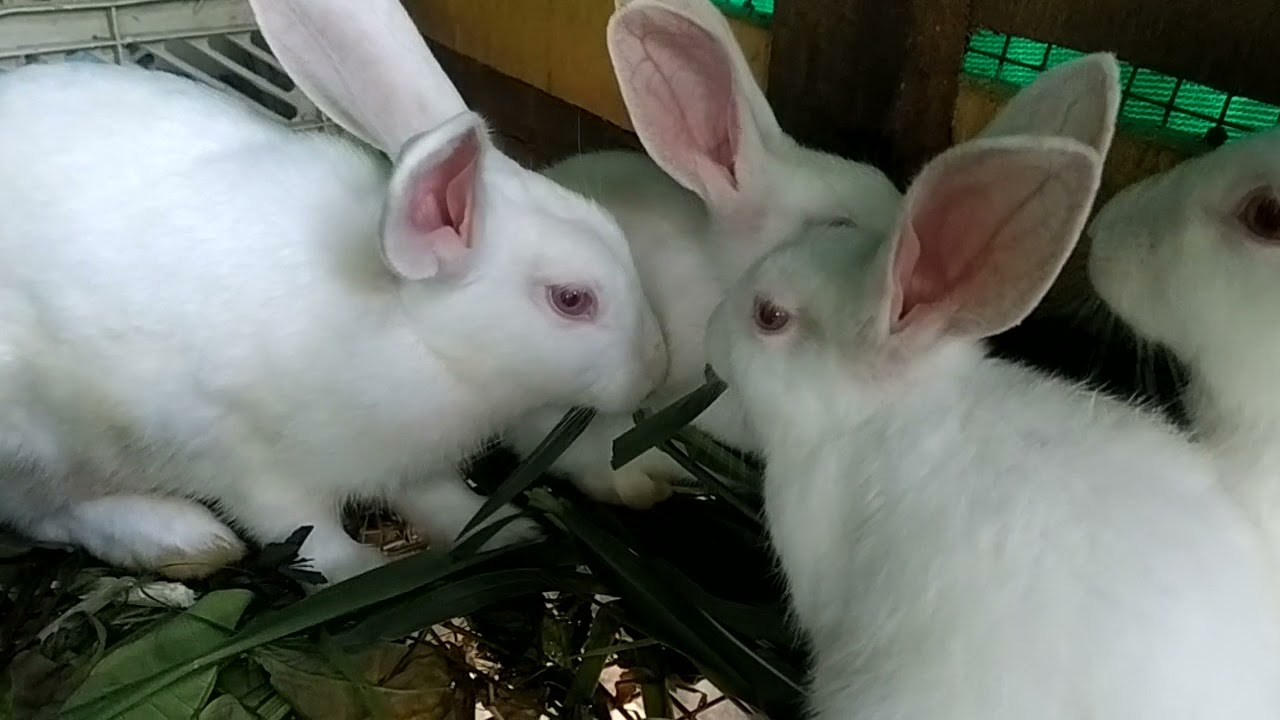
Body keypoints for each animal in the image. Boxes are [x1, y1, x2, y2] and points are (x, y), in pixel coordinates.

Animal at [0, 0, 665, 586]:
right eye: (571, 299)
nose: (652, 372)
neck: (413, 333)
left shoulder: (413, 463)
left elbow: (443, 498)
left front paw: (505, 529)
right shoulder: (250, 462)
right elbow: (303, 528)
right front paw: (362, 570)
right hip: (40, 445)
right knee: (47, 514)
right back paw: (185, 540)